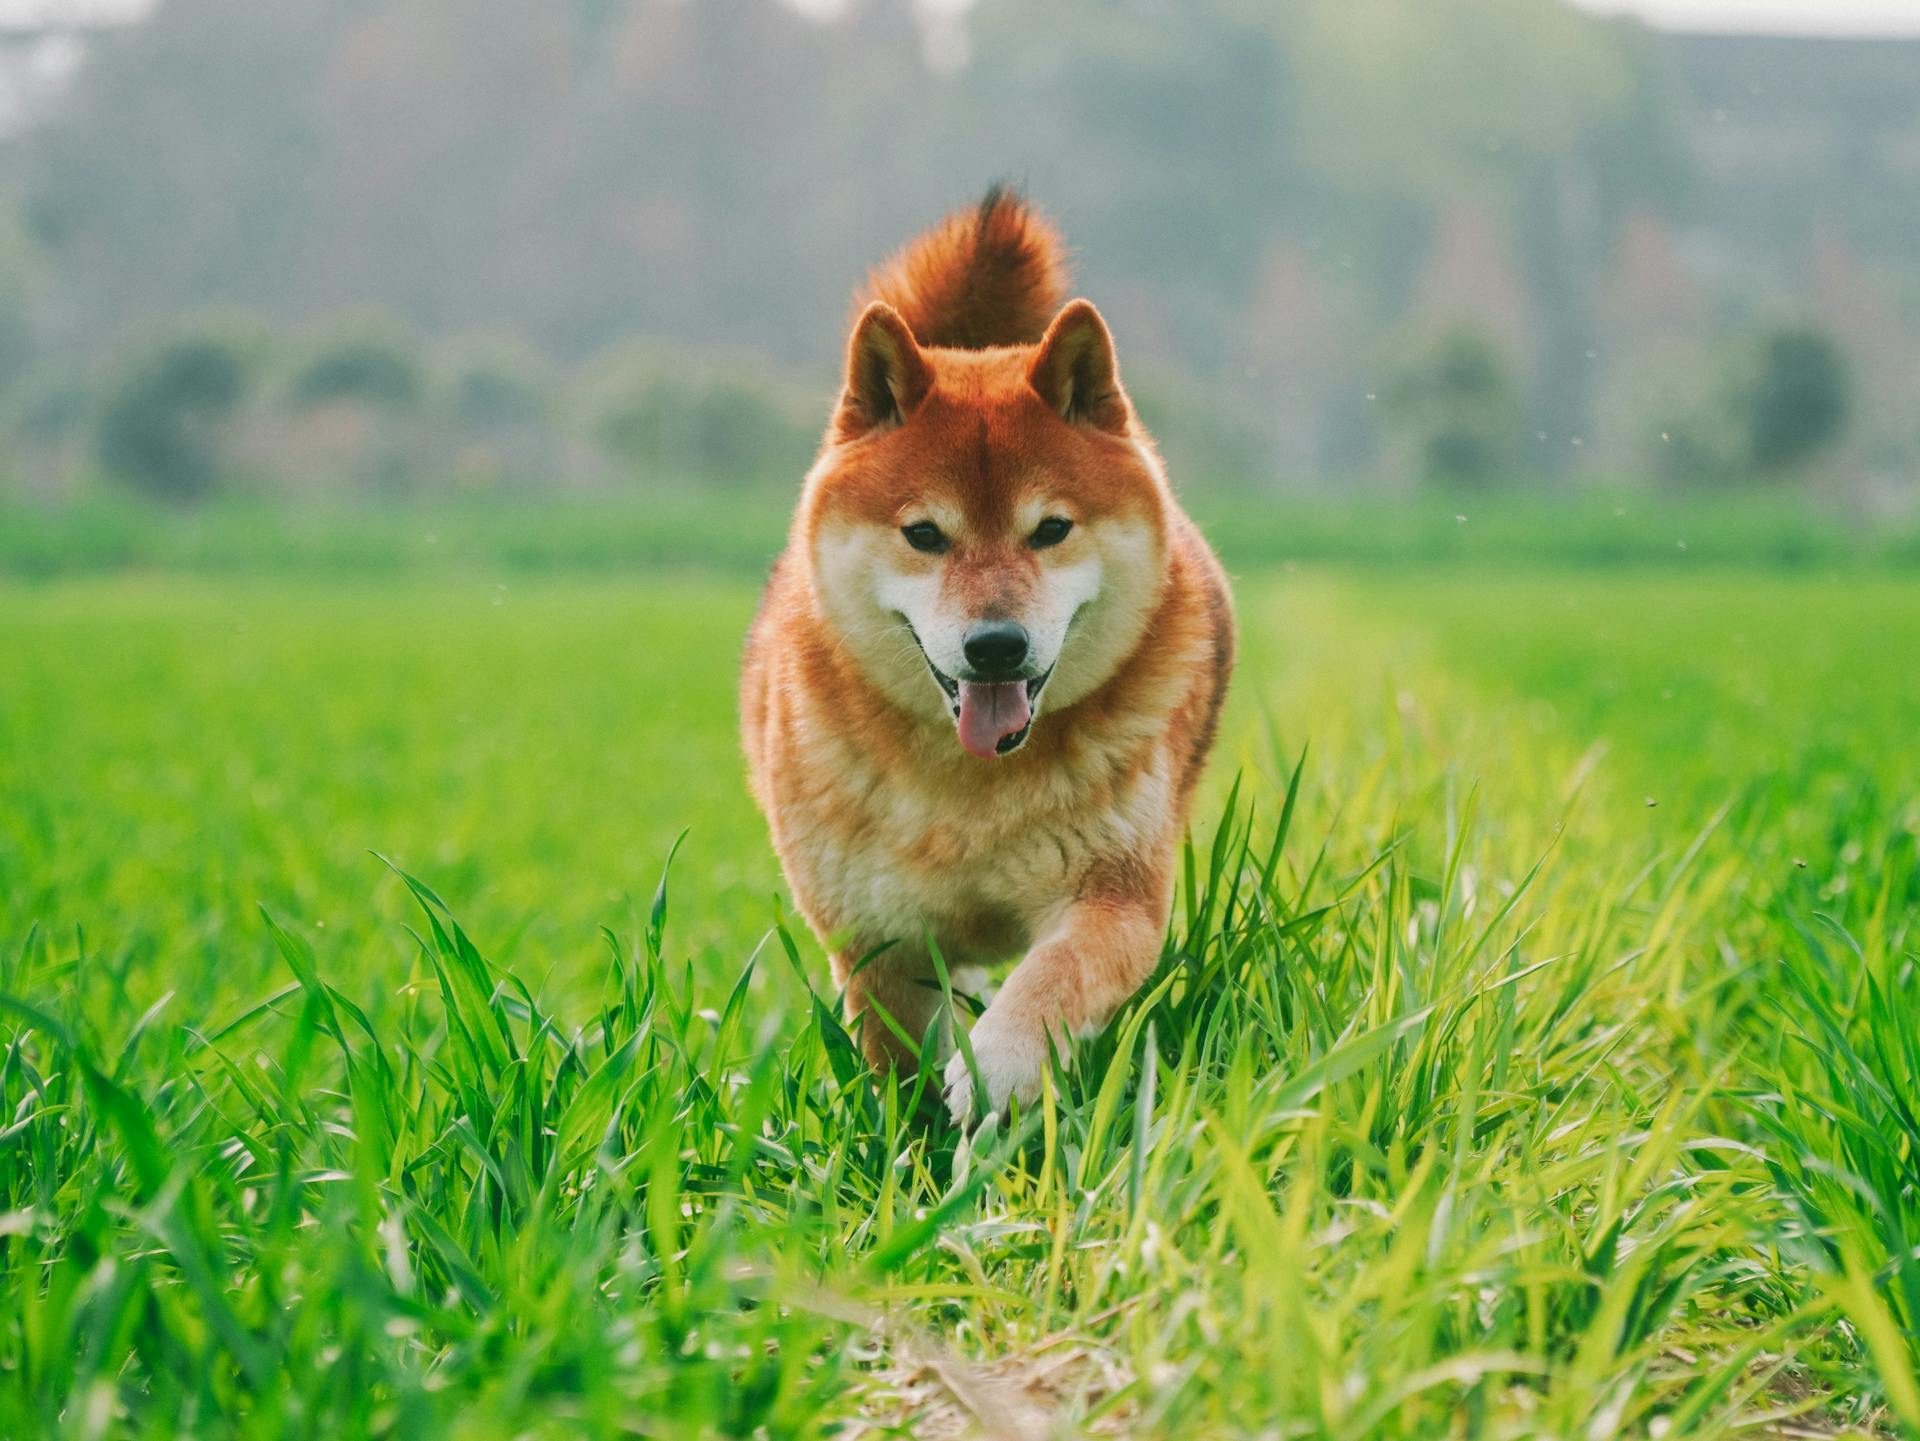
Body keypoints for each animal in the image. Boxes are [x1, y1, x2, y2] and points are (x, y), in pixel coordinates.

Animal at [741, 186, 1236, 1120]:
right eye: (924, 535)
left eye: (1050, 529)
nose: (997, 646)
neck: (970, 793)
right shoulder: (877, 938)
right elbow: (899, 1060)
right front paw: (915, 1134)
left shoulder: (1113, 893)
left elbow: (1051, 980)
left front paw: (997, 1065)